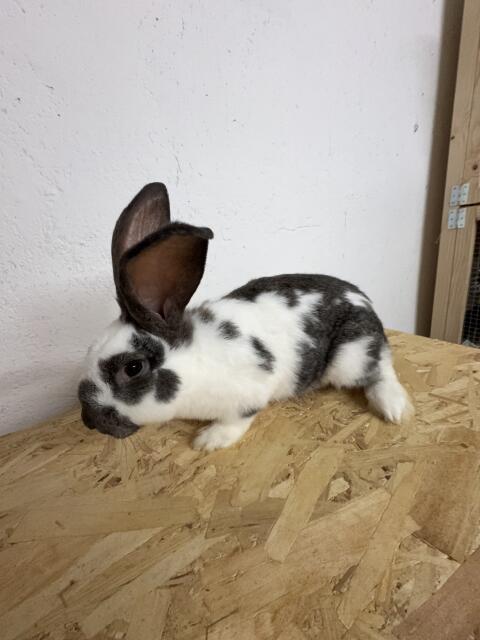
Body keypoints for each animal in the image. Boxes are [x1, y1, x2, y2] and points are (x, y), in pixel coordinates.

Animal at [78, 182, 413, 451]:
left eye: (133, 368)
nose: (88, 420)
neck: (194, 362)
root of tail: (364, 300)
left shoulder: (249, 393)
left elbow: (237, 420)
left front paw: (209, 441)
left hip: (351, 356)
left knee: (381, 369)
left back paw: (394, 407)